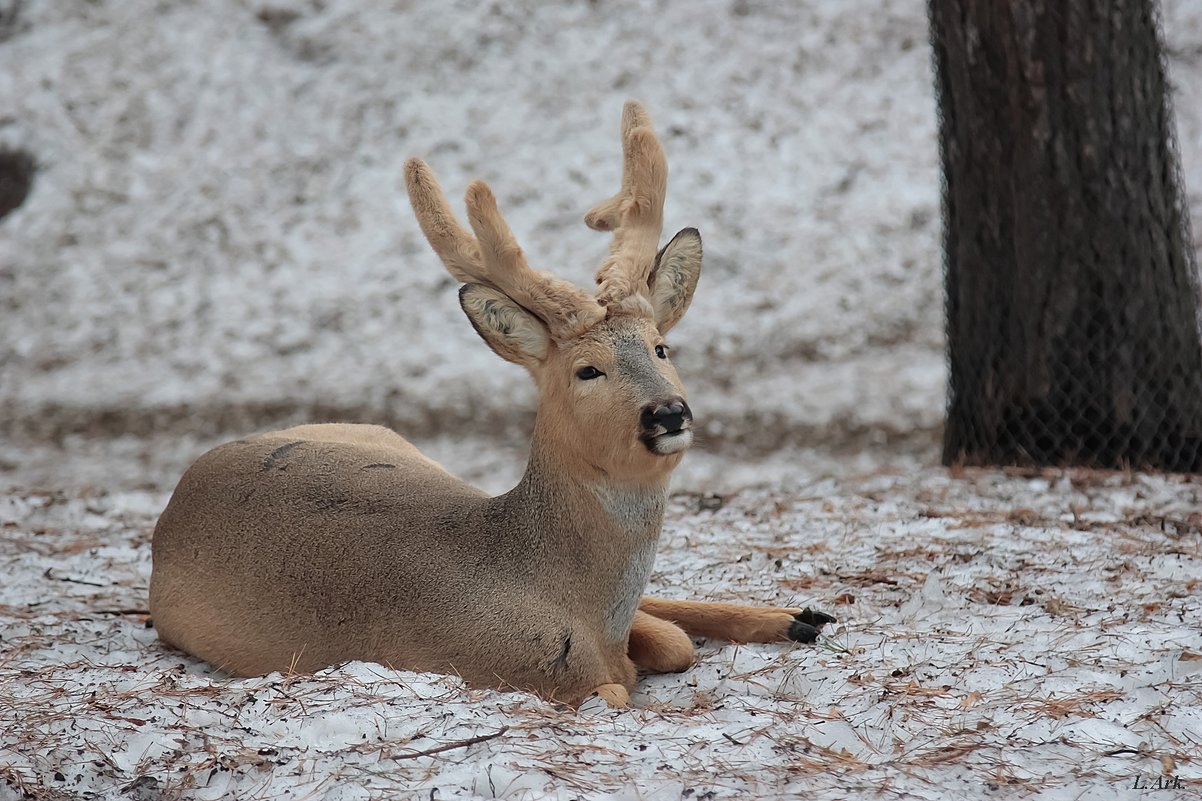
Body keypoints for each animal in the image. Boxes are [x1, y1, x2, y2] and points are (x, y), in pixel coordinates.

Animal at [145, 99, 831, 707]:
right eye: (587, 370)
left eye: (662, 348)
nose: (668, 413)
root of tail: (181, 489)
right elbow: (623, 682)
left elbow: (672, 643)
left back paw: (802, 615)